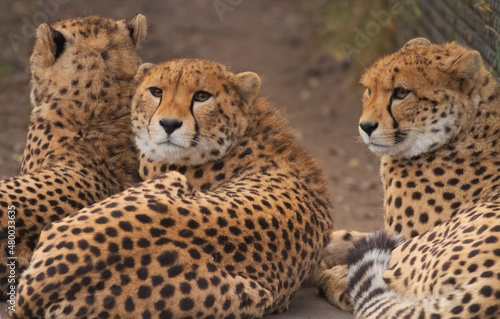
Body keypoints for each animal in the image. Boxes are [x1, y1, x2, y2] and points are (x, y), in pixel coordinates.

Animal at [320, 38, 500, 318]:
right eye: (369, 90)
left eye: (401, 93)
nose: (365, 126)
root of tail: (486, 293)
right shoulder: (389, 235)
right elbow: (348, 236)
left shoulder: (406, 238)